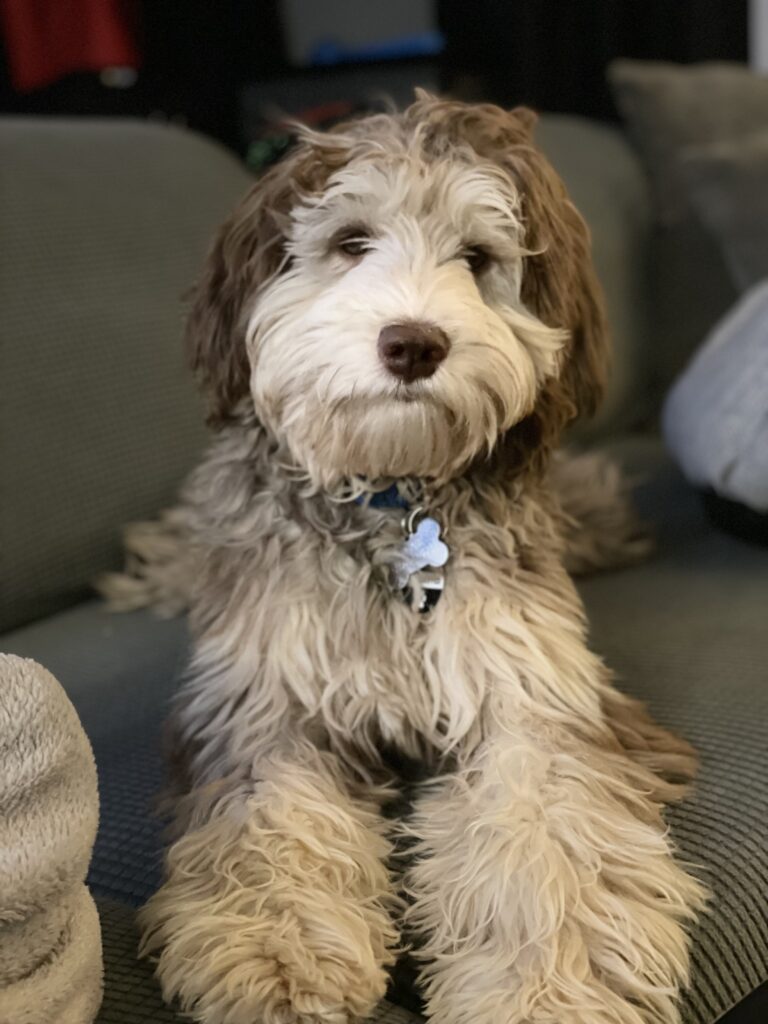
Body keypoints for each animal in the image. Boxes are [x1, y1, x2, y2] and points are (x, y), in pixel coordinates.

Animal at [123, 94, 708, 1024]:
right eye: (352, 240)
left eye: (477, 258)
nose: (412, 343)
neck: (394, 503)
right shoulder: (264, 703)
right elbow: (268, 825)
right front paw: (277, 952)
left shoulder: (535, 699)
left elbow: (552, 840)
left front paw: (544, 986)